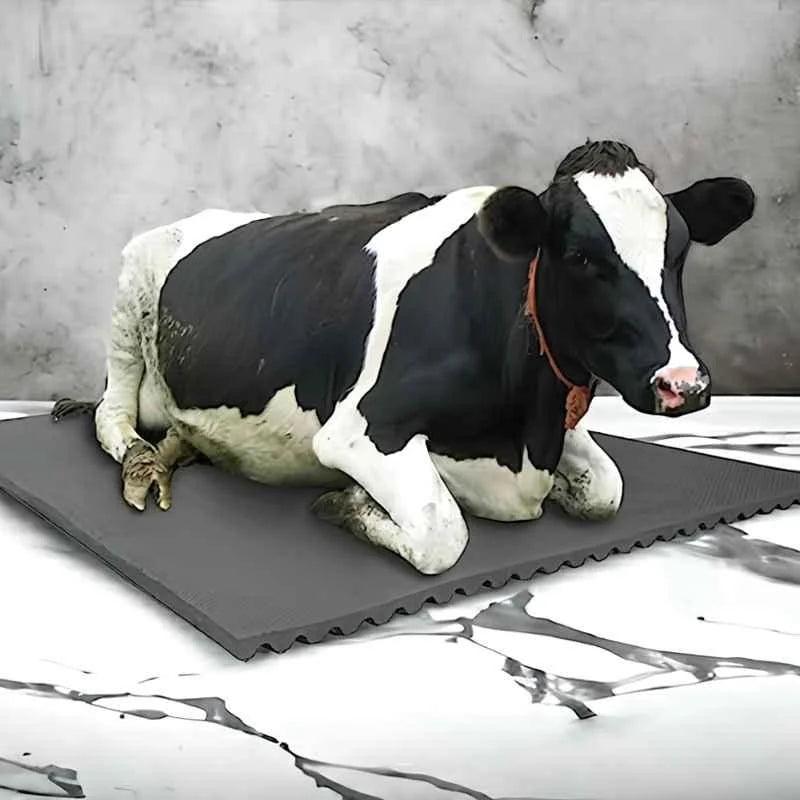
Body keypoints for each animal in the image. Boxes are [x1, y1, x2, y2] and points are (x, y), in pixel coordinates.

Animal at [54, 140, 755, 575]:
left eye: (680, 250)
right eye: (581, 256)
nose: (683, 384)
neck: (524, 428)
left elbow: (606, 489)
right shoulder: (359, 429)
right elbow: (444, 532)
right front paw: (347, 504)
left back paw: (184, 446)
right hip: (129, 295)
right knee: (112, 415)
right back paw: (145, 460)